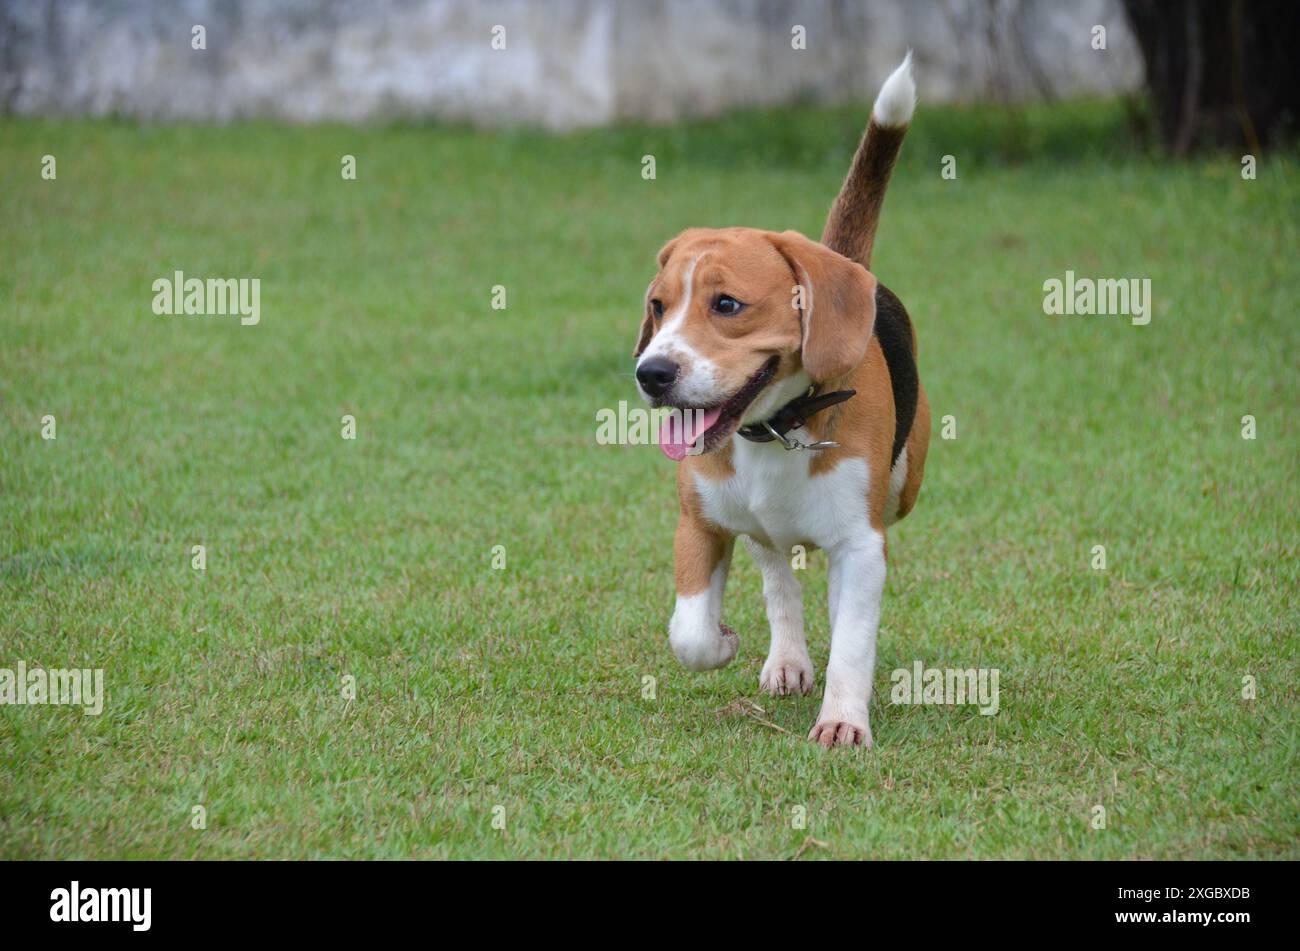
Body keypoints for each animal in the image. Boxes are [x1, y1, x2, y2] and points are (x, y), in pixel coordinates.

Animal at [629, 55, 925, 748]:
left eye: (727, 304)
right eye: (658, 305)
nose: (651, 373)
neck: (774, 429)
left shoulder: (863, 544)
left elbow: (853, 638)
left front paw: (843, 720)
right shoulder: (699, 523)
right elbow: (689, 633)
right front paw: (724, 640)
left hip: (904, 487)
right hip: (757, 528)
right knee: (777, 574)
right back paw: (787, 657)